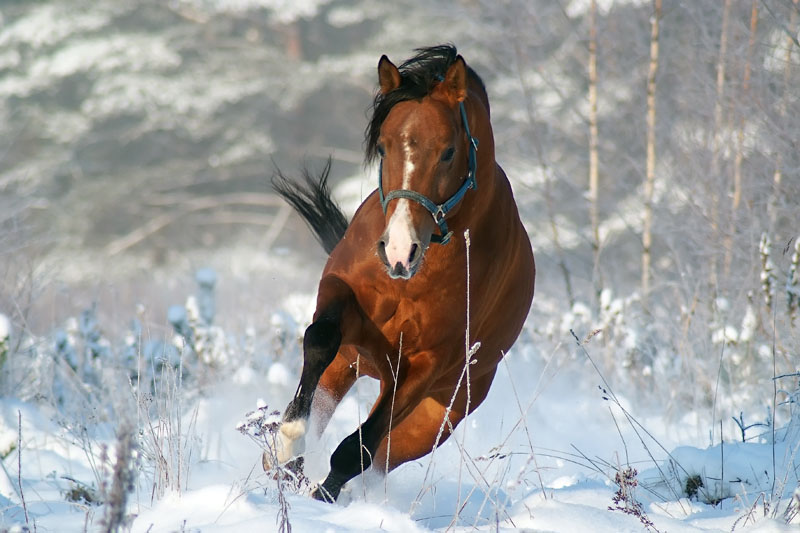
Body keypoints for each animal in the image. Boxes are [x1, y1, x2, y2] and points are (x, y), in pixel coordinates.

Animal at [270, 43, 536, 500]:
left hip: (435, 418)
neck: (412, 280)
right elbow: (319, 338)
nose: (397, 250)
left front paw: (320, 498)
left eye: (448, 151)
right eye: (382, 146)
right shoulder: (341, 298)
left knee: (379, 456)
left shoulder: (426, 365)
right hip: (349, 364)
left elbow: (355, 451)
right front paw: (290, 438)